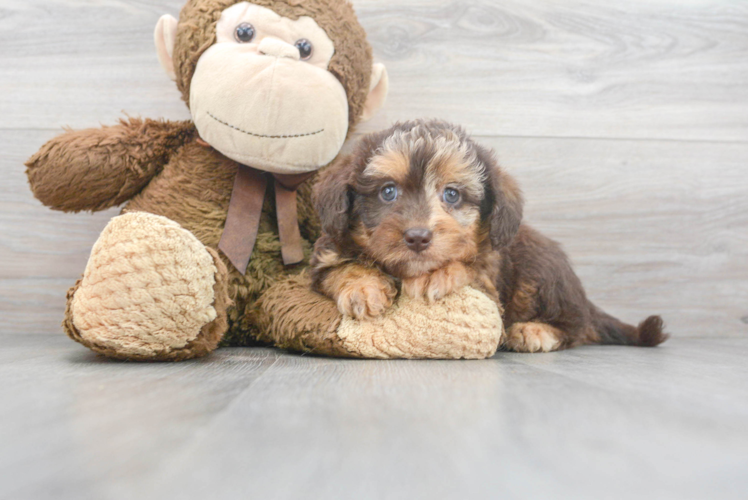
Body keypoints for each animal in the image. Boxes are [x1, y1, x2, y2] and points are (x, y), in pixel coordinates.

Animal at [310, 118, 668, 352]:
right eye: (387, 192)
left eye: (452, 194)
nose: (418, 237)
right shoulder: (326, 254)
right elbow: (342, 266)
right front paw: (362, 287)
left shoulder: (490, 275)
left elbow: (469, 265)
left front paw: (436, 274)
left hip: (541, 272)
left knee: (576, 326)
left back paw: (535, 331)